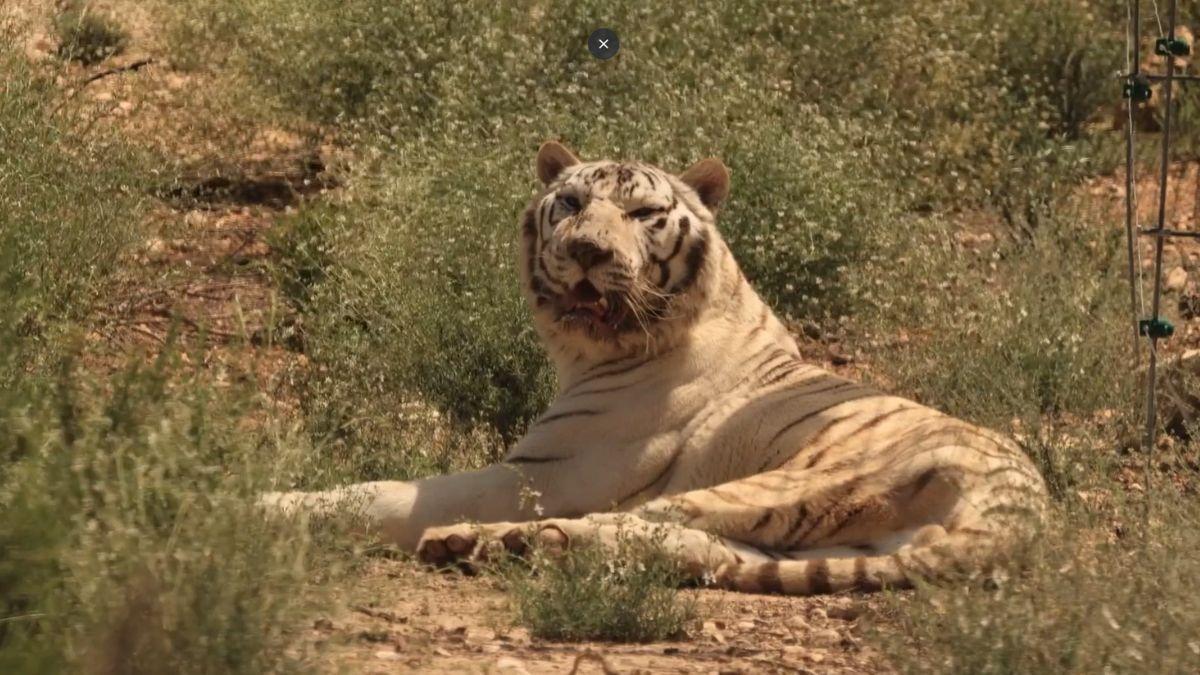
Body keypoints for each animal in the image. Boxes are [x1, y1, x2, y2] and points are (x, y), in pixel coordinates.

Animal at [262, 140, 1048, 595]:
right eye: (571, 202)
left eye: (642, 214)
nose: (587, 250)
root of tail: (1021, 514)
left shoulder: (544, 471)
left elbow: (387, 492)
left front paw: (266, 503)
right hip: (809, 530)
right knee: (694, 548)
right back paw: (500, 545)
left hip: (794, 479)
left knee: (641, 524)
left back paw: (486, 541)